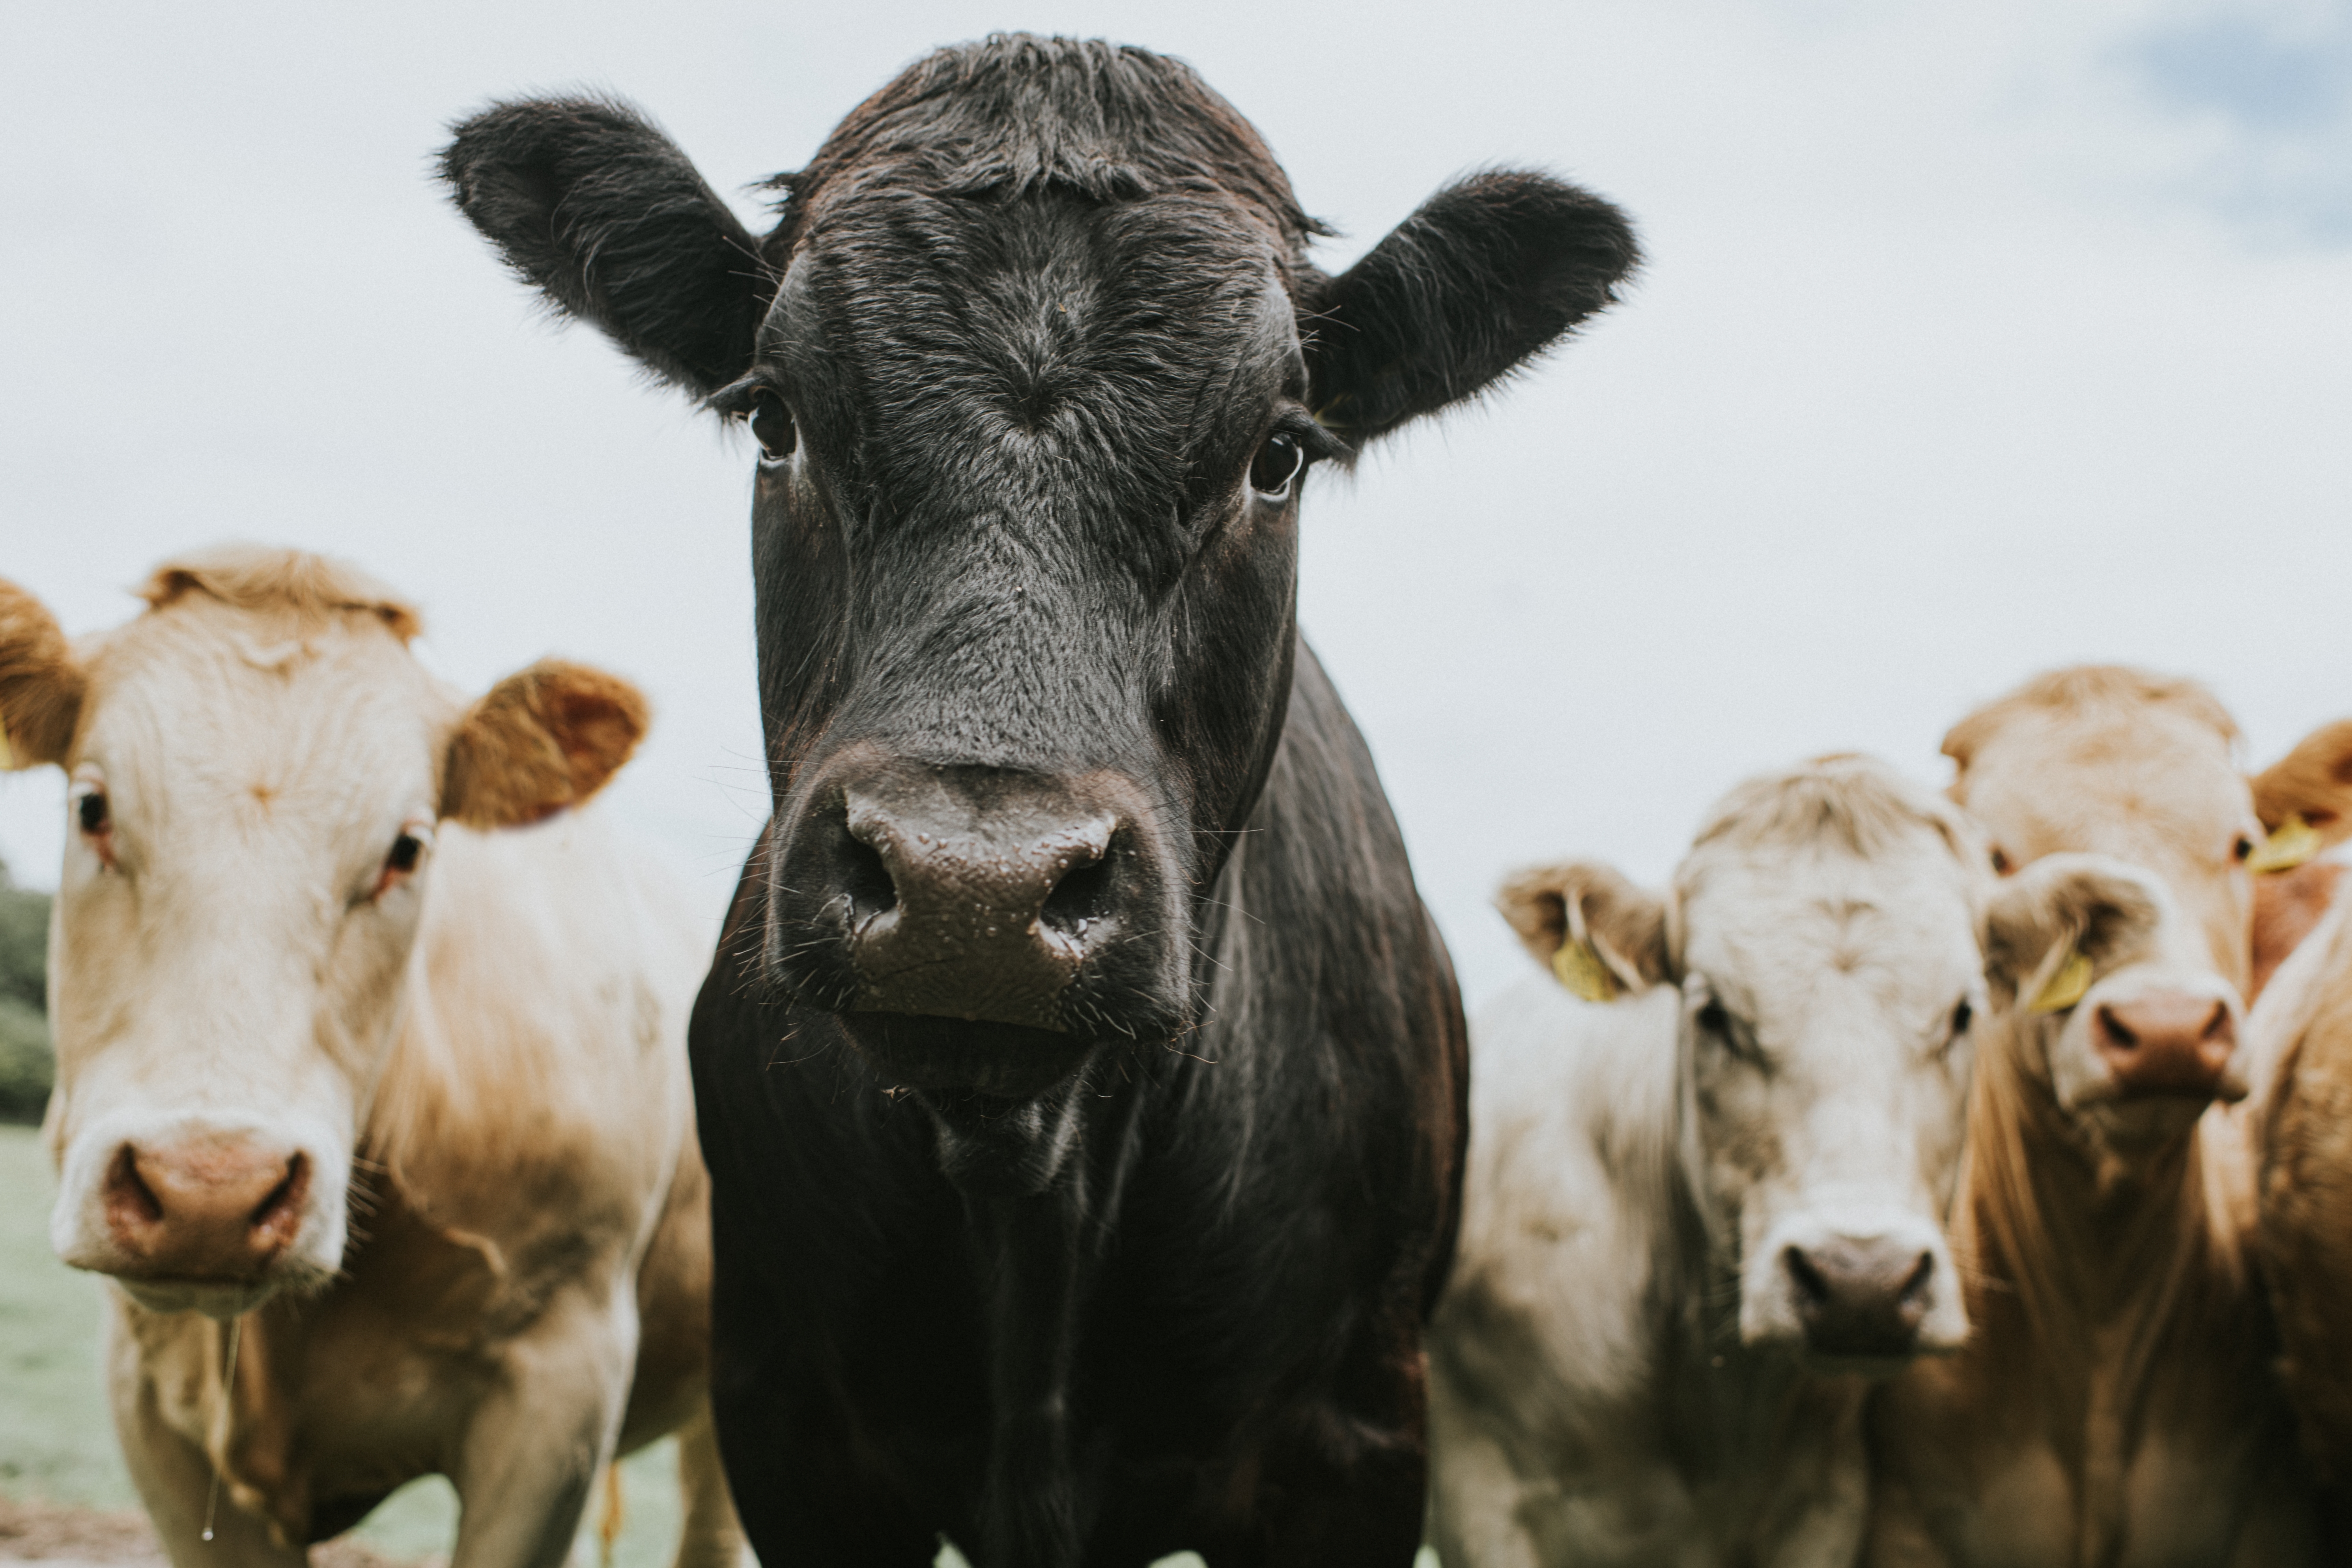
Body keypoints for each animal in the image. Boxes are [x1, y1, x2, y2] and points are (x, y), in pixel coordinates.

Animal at [438, 33, 1638, 1567]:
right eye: (773, 416)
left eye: (1279, 452)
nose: (975, 890)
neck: (1032, 1192)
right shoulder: (793, 1425)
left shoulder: (1353, 1438)